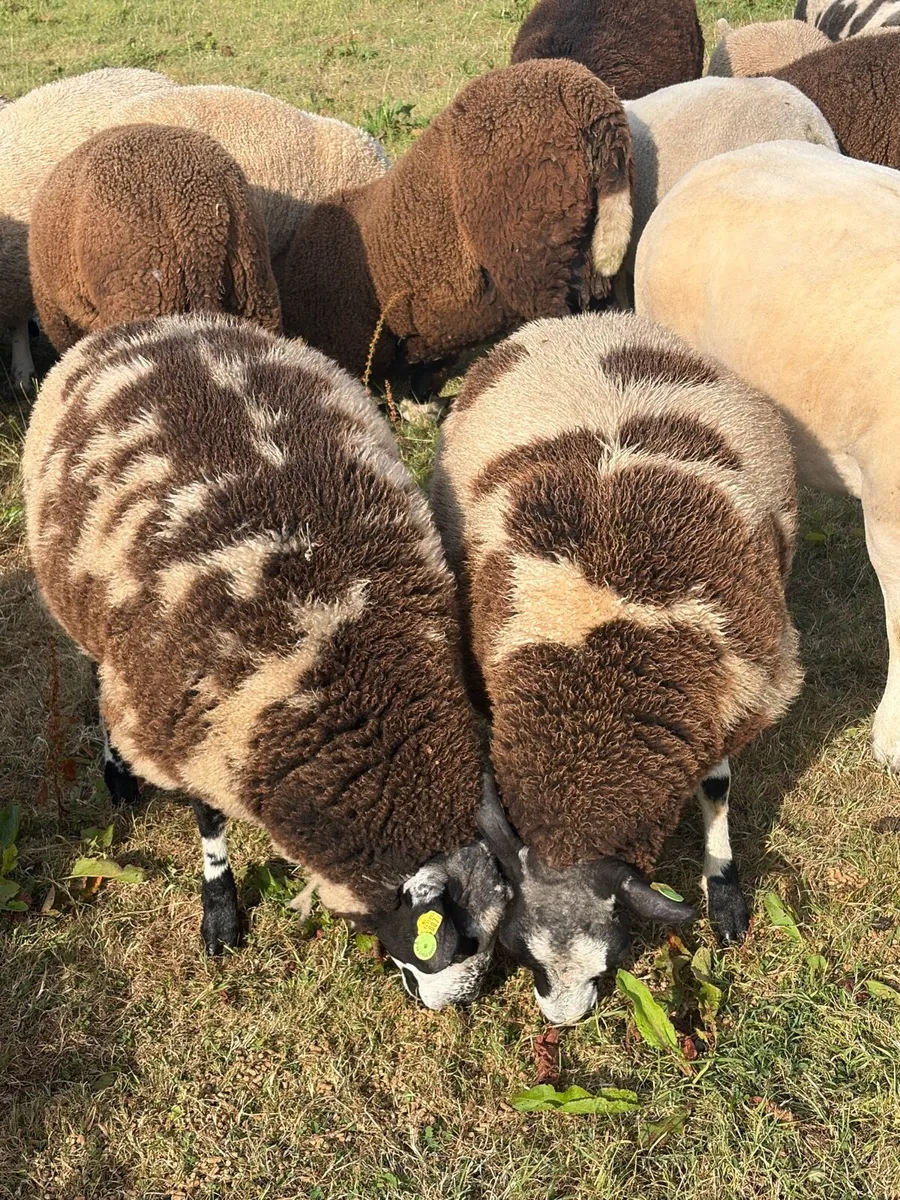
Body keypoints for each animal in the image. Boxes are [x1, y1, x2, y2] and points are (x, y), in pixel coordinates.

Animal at [22, 313, 508, 1009]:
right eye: (455, 941)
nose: (456, 1007)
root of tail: (153, 322)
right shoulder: (192, 725)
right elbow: (209, 824)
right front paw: (221, 919)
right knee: (96, 677)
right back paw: (117, 777)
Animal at [429, 311, 802, 1024]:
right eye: (520, 952)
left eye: (611, 959)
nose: (562, 1021)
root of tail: (588, 319)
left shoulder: (737, 696)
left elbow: (717, 788)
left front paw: (725, 893)